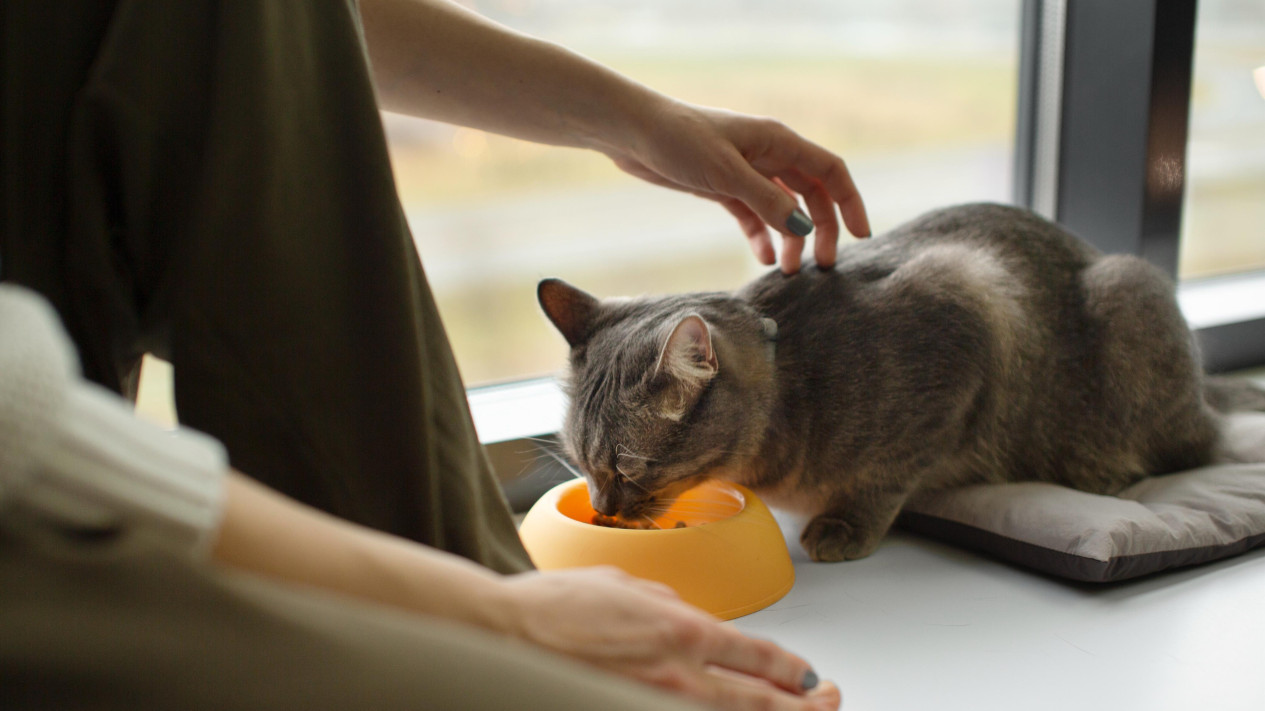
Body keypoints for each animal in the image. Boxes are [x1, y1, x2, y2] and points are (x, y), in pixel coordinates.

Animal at [533, 202, 1265, 561]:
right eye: (580, 463)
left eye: (631, 466)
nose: (602, 507)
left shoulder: (965, 313)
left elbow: (886, 475)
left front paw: (843, 525)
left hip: (1129, 293)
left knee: (1196, 442)